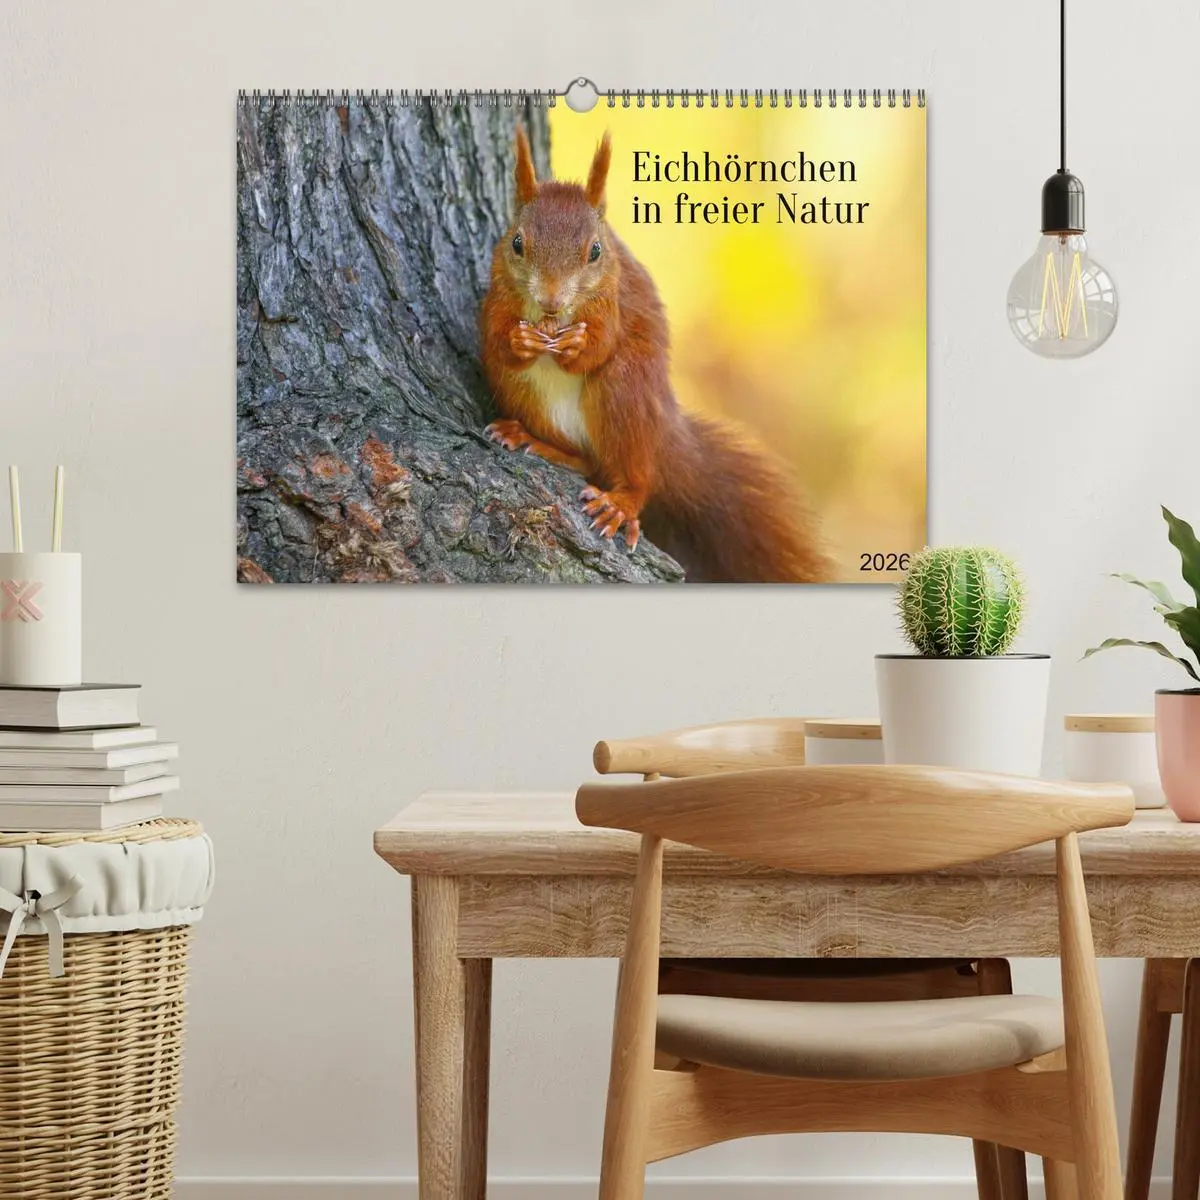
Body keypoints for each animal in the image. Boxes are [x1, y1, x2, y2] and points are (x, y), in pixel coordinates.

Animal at [478, 127, 832, 583]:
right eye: (518, 243)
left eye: (595, 251)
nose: (551, 302)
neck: (552, 320)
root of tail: (662, 434)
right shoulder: (498, 293)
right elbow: (494, 336)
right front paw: (520, 341)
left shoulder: (612, 302)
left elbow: (600, 346)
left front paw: (577, 346)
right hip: (521, 392)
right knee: (586, 461)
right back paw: (530, 439)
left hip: (624, 393)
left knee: (636, 476)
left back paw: (620, 503)